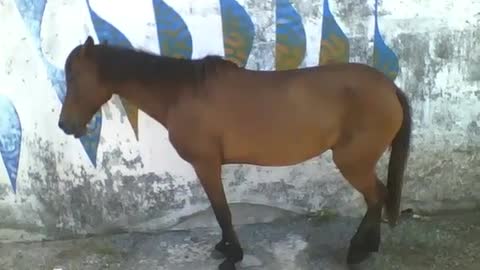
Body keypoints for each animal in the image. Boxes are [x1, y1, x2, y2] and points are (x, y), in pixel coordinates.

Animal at [59, 36, 412, 270]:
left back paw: (357, 252)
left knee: (376, 196)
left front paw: (232, 255)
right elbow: (221, 211)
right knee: (378, 196)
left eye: (74, 77)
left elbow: (221, 211)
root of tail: (390, 87)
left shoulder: (206, 164)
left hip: (352, 162)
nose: (65, 125)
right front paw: (225, 248)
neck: (180, 94)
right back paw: (370, 246)